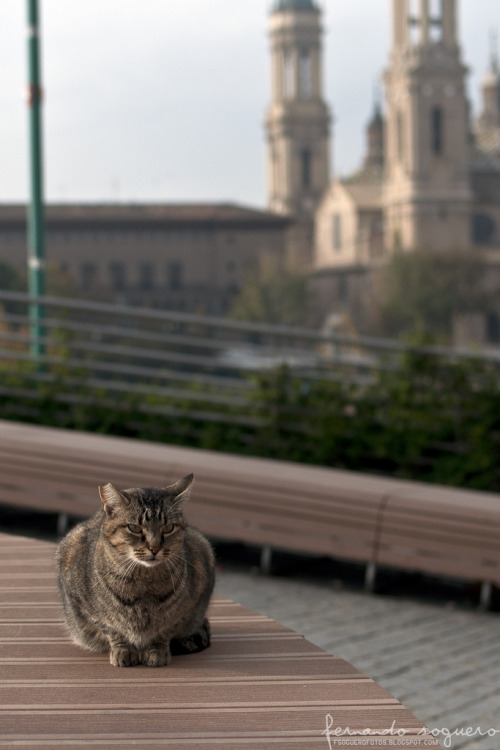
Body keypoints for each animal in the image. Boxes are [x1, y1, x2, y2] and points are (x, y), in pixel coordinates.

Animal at [55, 476, 215, 668]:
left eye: (168, 528)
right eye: (135, 528)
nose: (154, 548)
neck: (144, 583)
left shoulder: (187, 607)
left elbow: (166, 630)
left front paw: (157, 651)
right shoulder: (84, 604)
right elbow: (111, 628)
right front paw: (123, 650)